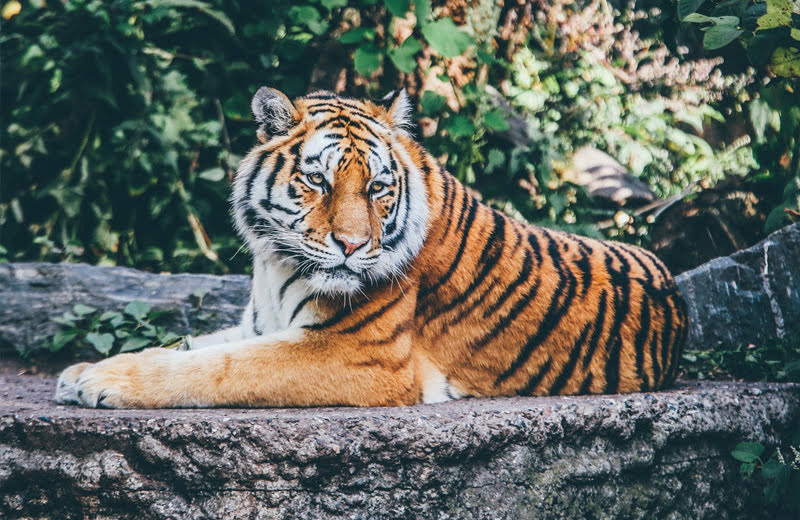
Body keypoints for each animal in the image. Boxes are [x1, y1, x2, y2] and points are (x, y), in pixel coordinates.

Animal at [54, 87, 688, 408]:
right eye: (318, 181)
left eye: (378, 188)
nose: (353, 245)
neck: (274, 264)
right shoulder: (260, 324)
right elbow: (190, 346)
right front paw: (82, 370)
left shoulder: (356, 354)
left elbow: (217, 368)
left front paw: (102, 382)